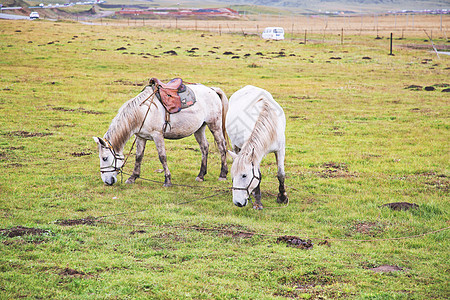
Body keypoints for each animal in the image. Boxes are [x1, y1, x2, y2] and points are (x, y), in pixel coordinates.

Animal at [94, 83, 229, 186]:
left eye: (104, 158)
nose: (107, 181)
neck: (142, 112)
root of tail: (212, 89)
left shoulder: (157, 135)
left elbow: (162, 157)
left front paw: (167, 180)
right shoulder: (141, 137)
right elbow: (138, 156)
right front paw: (133, 177)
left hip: (214, 125)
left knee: (222, 146)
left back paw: (223, 174)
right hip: (199, 128)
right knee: (204, 147)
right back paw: (201, 175)